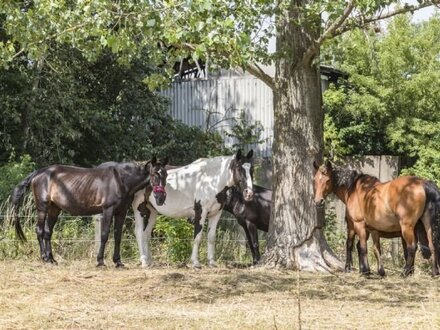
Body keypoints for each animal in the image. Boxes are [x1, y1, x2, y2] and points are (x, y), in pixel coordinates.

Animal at [10, 156, 168, 266]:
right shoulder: (108, 210)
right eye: (155, 174)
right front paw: (100, 261)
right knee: (39, 230)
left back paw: (51, 259)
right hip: (42, 208)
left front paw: (118, 262)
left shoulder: (121, 212)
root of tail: (39, 172)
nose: (161, 198)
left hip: (55, 209)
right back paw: (44, 257)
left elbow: (117, 236)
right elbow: (104, 235)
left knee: (48, 232)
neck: (121, 180)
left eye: (165, 175)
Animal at [312, 161, 440, 278]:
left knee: (412, 247)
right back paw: (434, 272)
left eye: (327, 180)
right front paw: (378, 271)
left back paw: (404, 272)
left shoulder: (356, 225)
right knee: (432, 245)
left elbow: (357, 246)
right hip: (427, 224)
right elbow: (375, 249)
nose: (318, 201)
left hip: (407, 227)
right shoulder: (373, 229)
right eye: (315, 180)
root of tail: (423, 183)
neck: (353, 189)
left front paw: (362, 270)